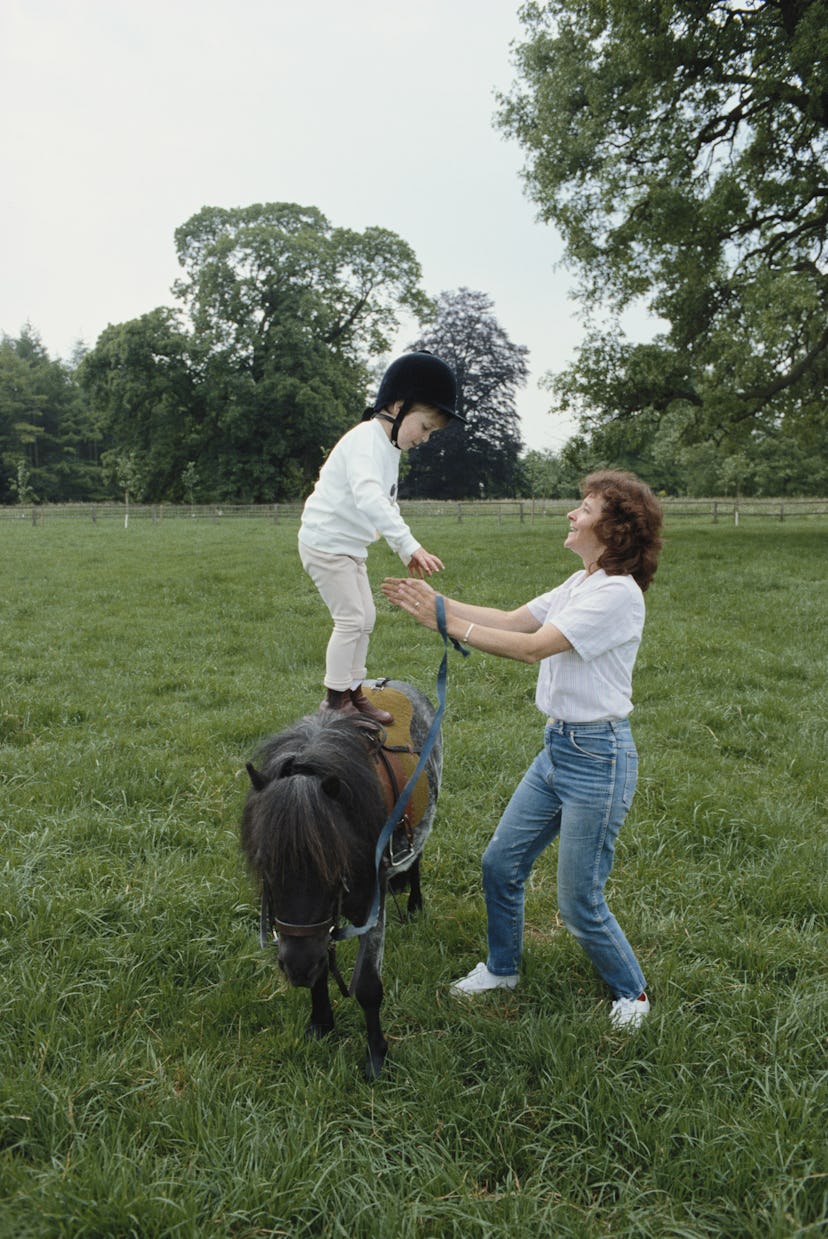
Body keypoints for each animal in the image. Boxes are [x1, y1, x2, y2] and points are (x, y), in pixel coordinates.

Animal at [239, 683, 443, 1080]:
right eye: (265, 862)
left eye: (333, 866)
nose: (296, 967)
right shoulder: (317, 930)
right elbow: (321, 970)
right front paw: (321, 1024)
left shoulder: (368, 910)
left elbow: (367, 986)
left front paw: (376, 1055)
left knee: (417, 857)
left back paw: (414, 903)